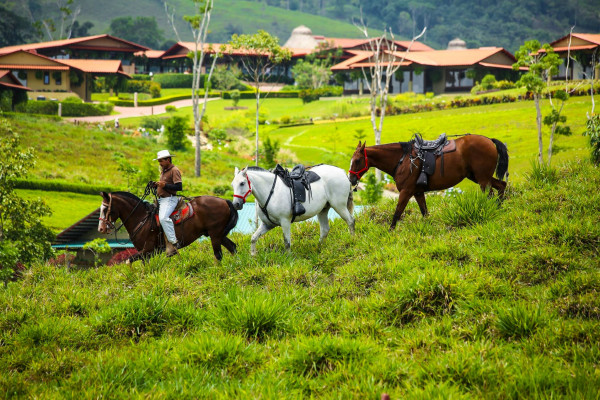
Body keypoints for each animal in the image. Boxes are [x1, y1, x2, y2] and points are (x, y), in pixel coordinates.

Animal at [98, 191, 239, 262]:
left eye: (105, 208)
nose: (101, 229)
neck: (142, 219)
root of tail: (224, 201)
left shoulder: (147, 250)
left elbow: (128, 260)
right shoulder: (145, 254)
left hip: (215, 234)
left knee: (218, 254)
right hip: (217, 234)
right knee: (232, 247)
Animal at [350, 134, 508, 228]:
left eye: (357, 160)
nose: (351, 179)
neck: (403, 159)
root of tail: (489, 140)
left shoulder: (406, 192)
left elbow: (397, 213)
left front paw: (390, 232)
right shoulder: (418, 193)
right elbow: (425, 212)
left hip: (482, 179)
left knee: (491, 195)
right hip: (478, 177)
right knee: (502, 185)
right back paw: (499, 208)